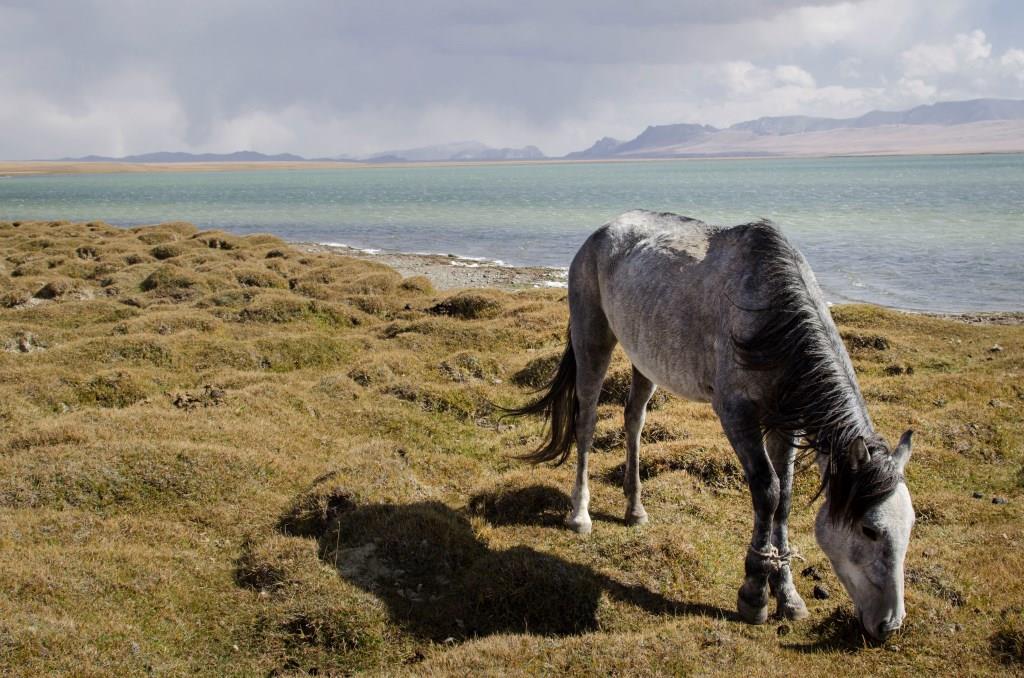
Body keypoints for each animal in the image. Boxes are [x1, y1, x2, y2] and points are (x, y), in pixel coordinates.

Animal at [507, 210, 917, 643]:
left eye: (909, 526)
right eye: (869, 530)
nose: (889, 624)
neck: (771, 320)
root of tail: (600, 233)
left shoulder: (785, 423)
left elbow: (786, 498)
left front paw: (788, 596)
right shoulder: (736, 414)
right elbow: (768, 492)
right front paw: (755, 594)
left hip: (645, 359)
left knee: (634, 420)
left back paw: (635, 510)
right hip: (593, 340)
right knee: (585, 423)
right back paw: (580, 515)